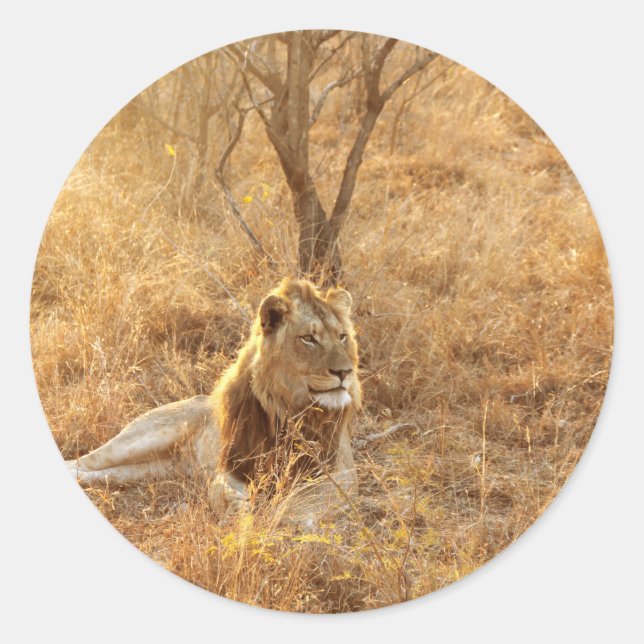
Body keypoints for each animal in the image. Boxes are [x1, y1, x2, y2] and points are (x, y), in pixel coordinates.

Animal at [66, 278, 361, 526]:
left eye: (342, 336)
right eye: (308, 339)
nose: (345, 372)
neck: (289, 408)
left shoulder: (341, 473)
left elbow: (307, 497)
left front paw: (282, 516)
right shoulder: (232, 464)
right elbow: (217, 489)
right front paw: (236, 508)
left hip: (154, 469)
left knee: (104, 473)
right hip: (141, 439)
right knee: (82, 461)